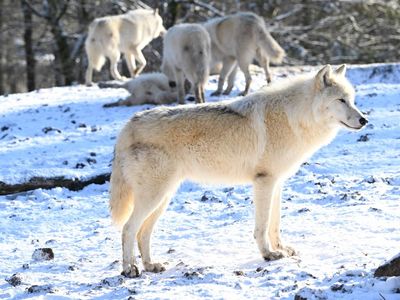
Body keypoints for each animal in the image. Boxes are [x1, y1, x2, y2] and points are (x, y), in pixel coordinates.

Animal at [109, 64, 368, 278]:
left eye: (352, 100)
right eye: (341, 100)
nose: (364, 120)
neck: (295, 117)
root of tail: (127, 126)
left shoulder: (277, 183)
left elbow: (275, 224)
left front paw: (281, 249)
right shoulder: (264, 181)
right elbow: (262, 226)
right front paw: (268, 254)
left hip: (163, 197)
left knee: (143, 233)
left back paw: (151, 266)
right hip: (154, 196)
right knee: (128, 229)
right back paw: (130, 269)